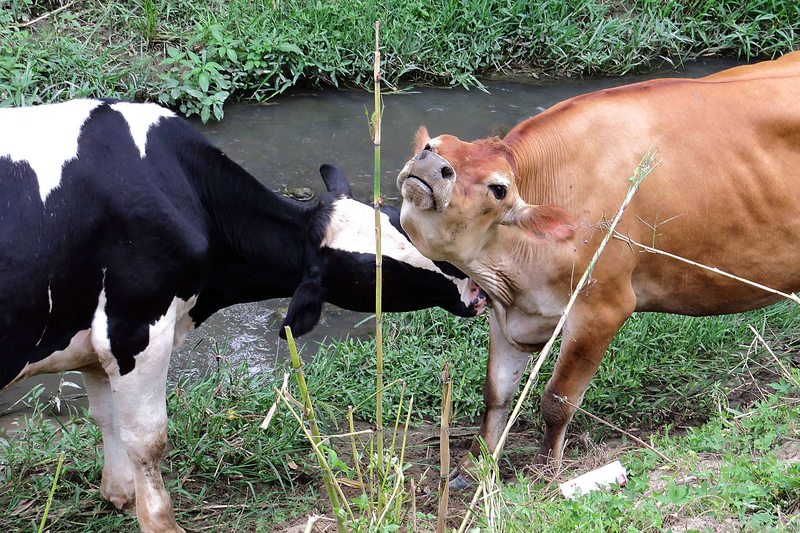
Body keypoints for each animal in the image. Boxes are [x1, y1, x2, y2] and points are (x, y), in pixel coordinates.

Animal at [0, 101, 482, 532]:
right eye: (377, 273)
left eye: (400, 222)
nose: (473, 289)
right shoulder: (135, 327)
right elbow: (147, 438)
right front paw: (160, 523)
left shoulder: (95, 340)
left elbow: (107, 418)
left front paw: (120, 494)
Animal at [400, 51, 800, 486]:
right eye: (432, 145)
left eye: (499, 188)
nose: (431, 163)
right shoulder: (508, 310)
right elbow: (496, 395)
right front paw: (473, 468)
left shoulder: (602, 308)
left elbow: (557, 400)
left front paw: (545, 474)